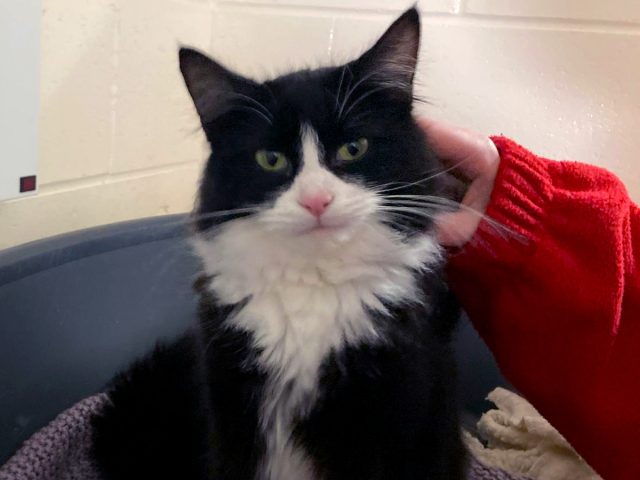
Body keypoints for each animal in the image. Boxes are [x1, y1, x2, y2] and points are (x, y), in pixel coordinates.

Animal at [90, 7, 468, 480]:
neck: (313, 285)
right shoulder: (227, 395)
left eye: (353, 148)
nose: (316, 200)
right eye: (270, 159)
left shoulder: (391, 407)